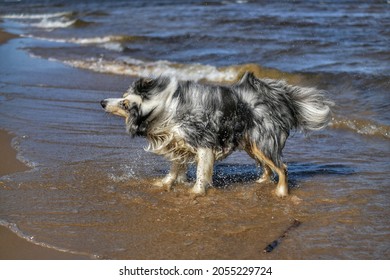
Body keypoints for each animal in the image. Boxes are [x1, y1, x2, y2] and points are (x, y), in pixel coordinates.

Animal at [100, 72, 332, 199]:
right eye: (122, 98)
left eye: (125, 103)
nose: (102, 102)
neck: (160, 110)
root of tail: (277, 97)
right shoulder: (179, 142)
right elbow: (174, 168)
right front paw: (163, 184)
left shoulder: (203, 143)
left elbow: (201, 173)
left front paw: (196, 192)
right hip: (252, 144)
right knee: (268, 167)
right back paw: (260, 183)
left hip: (263, 141)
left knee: (282, 168)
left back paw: (281, 193)